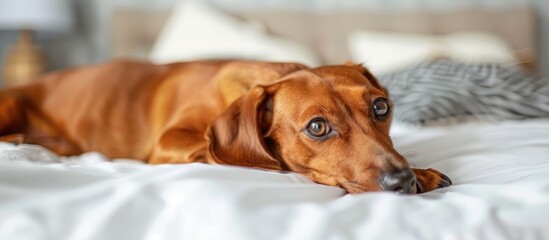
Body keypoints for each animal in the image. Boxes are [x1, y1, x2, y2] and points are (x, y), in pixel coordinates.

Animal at [0, 60, 450, 193]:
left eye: (381, 107)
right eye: (318, 127)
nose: (401, 180)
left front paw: (422, 172)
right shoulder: (168, 144)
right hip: (9, 103)